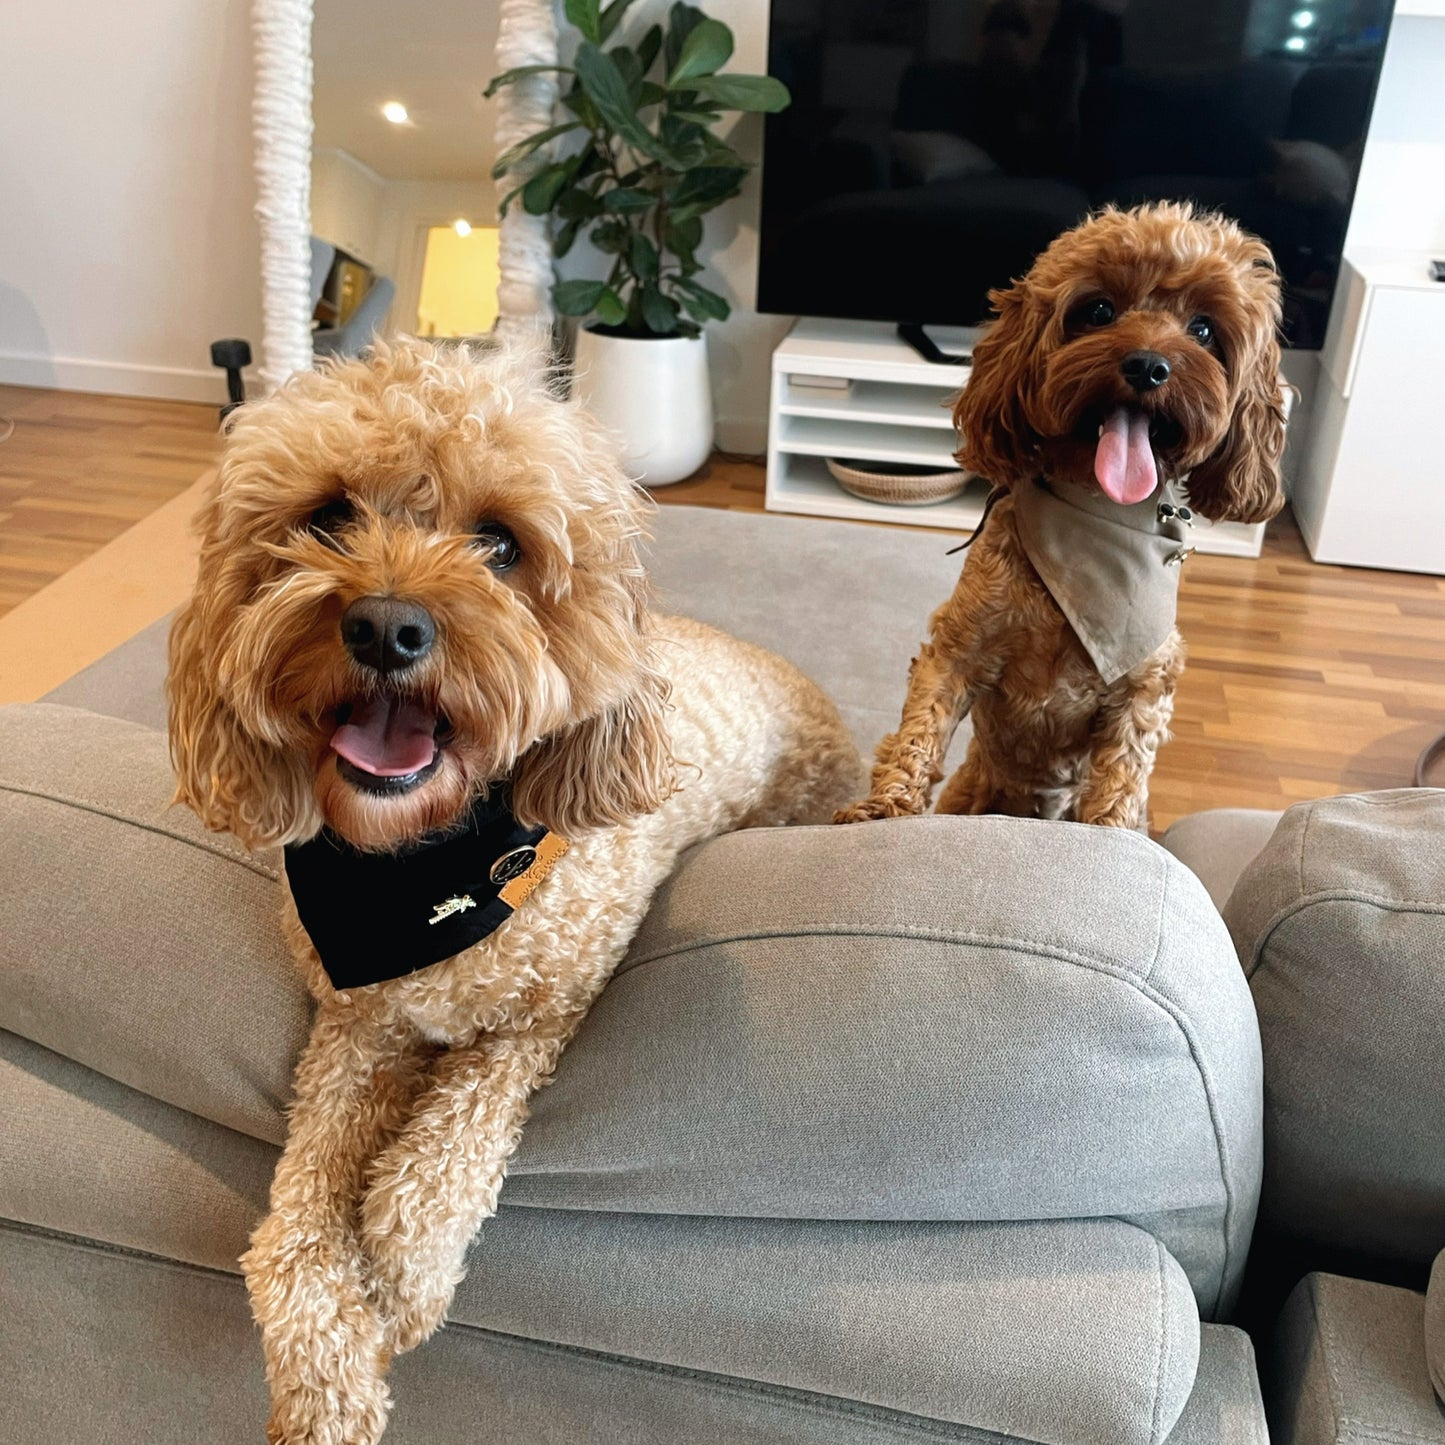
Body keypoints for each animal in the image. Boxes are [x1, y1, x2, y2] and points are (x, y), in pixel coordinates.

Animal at [166, 338, 855, 1445]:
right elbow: (291, 1232)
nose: (387, 625)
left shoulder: (540, 1018)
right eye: (327, 518)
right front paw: (325, 1377)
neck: (427, 867)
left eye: (498, 543)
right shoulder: (355, 1032)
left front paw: (401, 1290)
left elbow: (430, 1166)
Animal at [838, 206, 1288, 838]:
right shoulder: (960, 648)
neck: (1095, 517)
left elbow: (1122, 774)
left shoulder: (1144, 687)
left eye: (1203, 330)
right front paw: (883, 809)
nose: (1149, 366)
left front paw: (1110, 837)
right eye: (1098, 310)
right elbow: (918, 733)